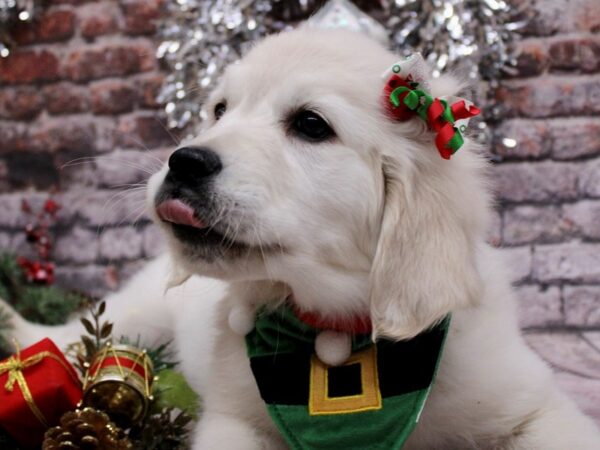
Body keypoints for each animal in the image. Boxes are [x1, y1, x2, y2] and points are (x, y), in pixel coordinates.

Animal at [4, 29, 600, 448]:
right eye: (219, 110)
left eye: (311, 125)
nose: (183, 161)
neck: (335, 331)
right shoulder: (233, 421)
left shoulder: (533, 401)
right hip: (141, 313)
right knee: (68, 336)